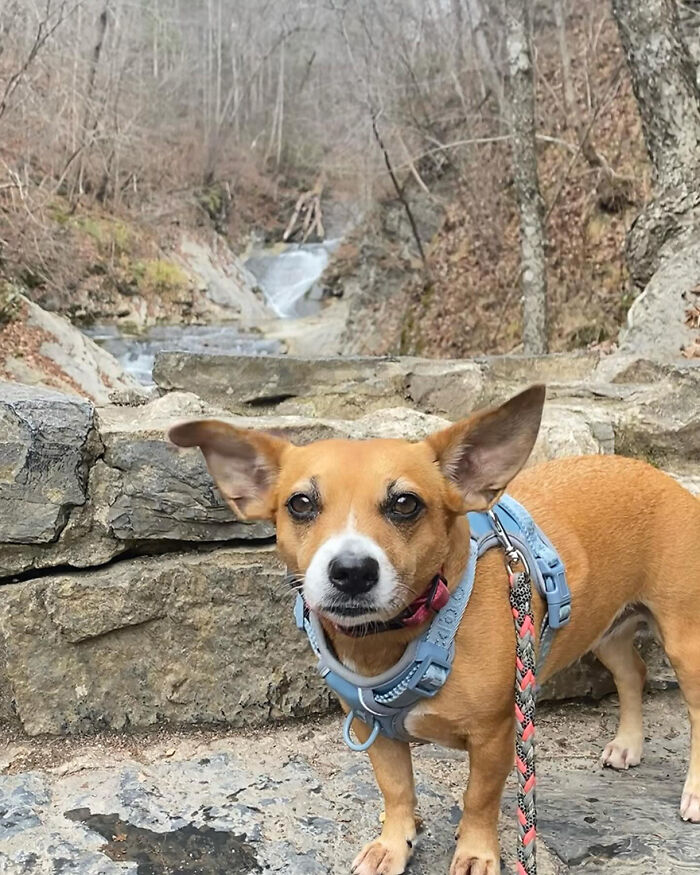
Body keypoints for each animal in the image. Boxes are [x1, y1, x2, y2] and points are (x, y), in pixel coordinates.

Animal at [170, 390, 700, 875]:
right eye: (300, 504)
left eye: (405, 503)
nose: (352, 570)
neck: (392, 638)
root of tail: (658, 476)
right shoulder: (373, 732)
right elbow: (397, 789)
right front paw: (394, 844)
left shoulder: (494, 738)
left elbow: (479, 800)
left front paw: (477, 854)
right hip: (607, 630)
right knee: (632, 673)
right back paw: (629, 743)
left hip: (686, 645)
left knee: (695, 713)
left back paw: (694, 792)